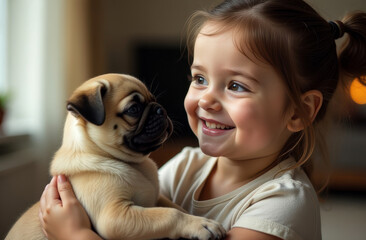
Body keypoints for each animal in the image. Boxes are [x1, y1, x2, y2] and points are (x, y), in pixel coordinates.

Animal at [5, 73, 224, 240]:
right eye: (133, 109)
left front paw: (199, 219)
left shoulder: (156, 197)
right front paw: (200, 225)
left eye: (154, 99)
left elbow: (173, 207)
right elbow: (169, 215)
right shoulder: (114, 215)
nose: (160, 109)